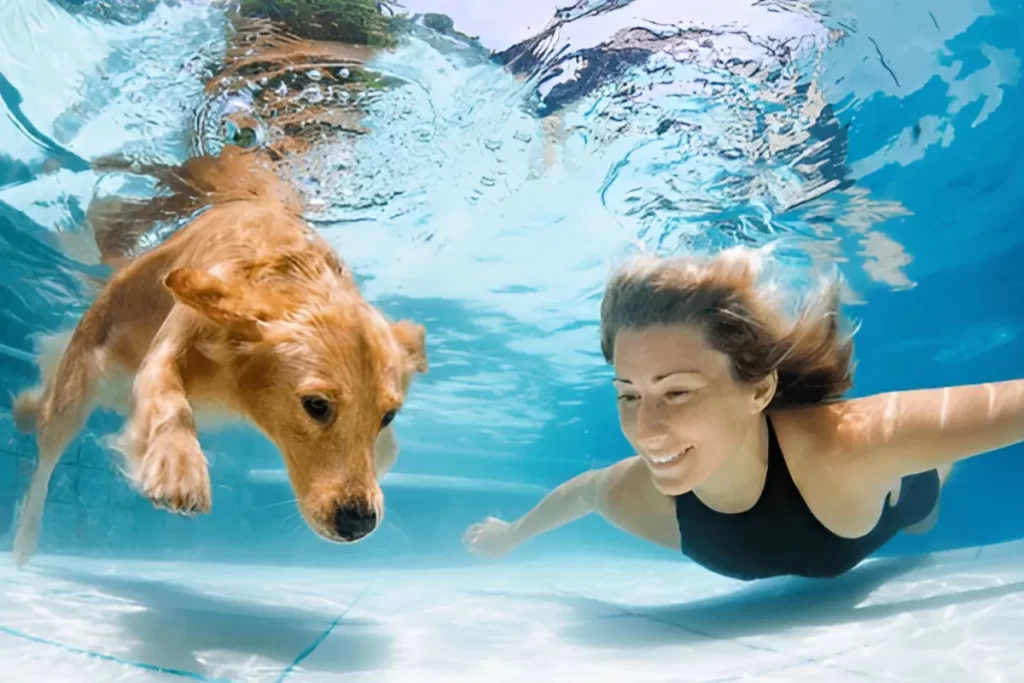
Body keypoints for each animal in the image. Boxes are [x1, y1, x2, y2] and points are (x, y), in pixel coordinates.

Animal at [8, 147, 425, 569]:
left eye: (388, 415)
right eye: (317, 406)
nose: (360, 523)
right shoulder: (169, 348)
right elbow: (170, 400)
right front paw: (179, 467)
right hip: (78, 388)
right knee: (46, 454)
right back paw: (24, 539)